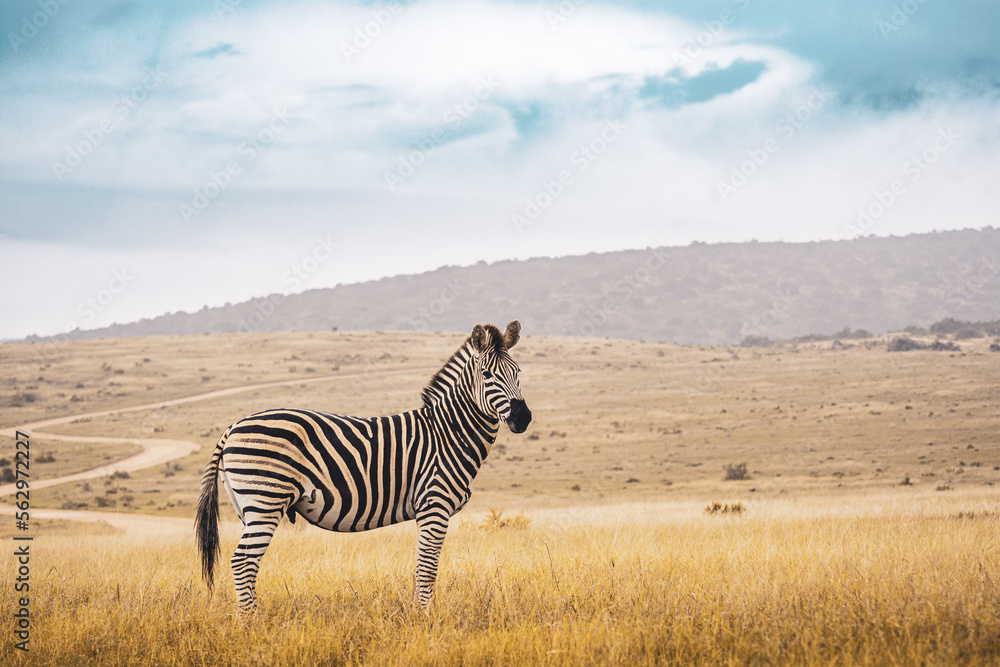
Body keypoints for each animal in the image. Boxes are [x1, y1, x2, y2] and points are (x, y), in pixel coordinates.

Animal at [195, 321, 531, 612]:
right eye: (486, 375)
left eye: (518, 372)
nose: (523, 418)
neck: (449, 433)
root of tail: (234, 426)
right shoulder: (434, 506)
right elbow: (428, 568)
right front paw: (425, 617)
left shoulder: (426, 511)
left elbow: (420, 567)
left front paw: (417, 613)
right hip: (265, 500)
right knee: (242, 562)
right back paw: (252, 623)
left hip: (247, 507)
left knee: (248, 564)